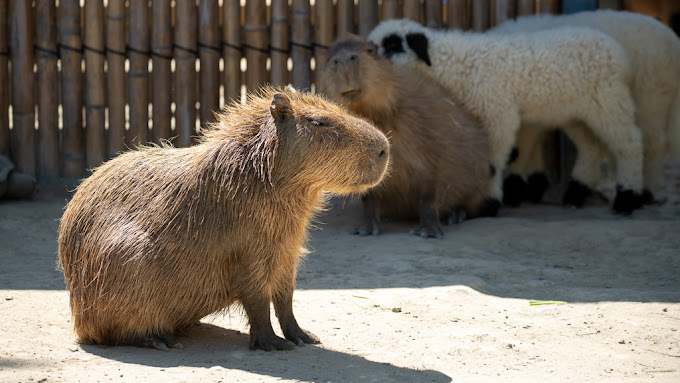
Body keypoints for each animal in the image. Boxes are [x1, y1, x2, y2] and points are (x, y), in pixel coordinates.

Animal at [370, 19, 644, 214]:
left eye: (393, 46)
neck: (455, 65)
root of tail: (617, 51)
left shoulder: (497, 113)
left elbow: (492, 162)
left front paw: (487, 203)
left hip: (608, 99)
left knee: (630, 144)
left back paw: (627, 198)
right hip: (575, 112)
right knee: (591, 148)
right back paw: (575, 195)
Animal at [488, 9, 680, 207]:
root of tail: (673, 41)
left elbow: (523, 145)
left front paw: (515, 187)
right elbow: (530, 144)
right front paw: (534, 182)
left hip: (650, 97)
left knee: (653, 144)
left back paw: (642, 192)